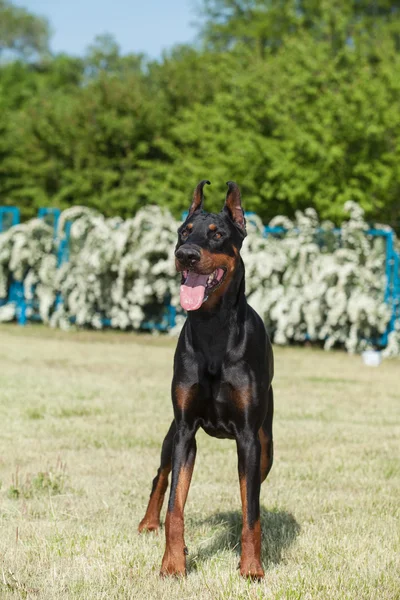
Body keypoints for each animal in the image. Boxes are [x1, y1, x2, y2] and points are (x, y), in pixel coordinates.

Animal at [139, 180, 274, 580]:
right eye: (184, 231)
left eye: (217, 235)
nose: (186, 255)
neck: (212, 327)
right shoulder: (185, 429)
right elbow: (175, 506)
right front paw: (173, 563)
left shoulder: (248, 437)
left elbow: (251, 511)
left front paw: (251, 568)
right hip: (172, 433)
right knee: (161, 476)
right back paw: (147, 523)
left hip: (266, 445)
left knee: (251, 490)